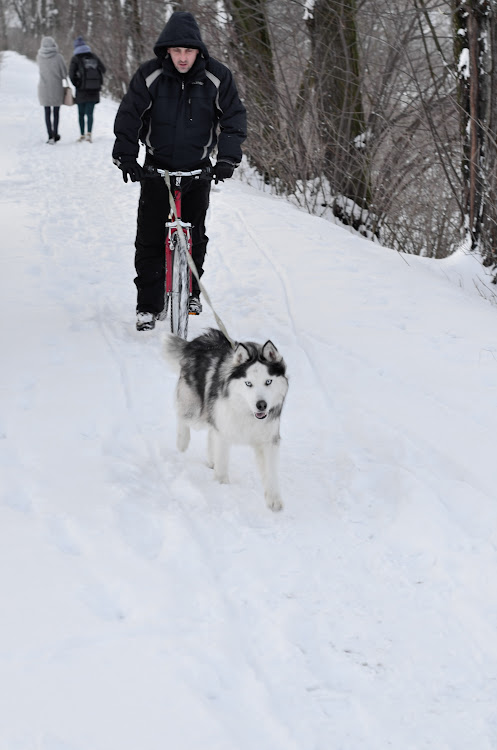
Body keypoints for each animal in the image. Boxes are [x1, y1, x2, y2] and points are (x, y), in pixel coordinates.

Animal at [165, 328, 288, 512]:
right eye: (248, 384)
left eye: (268, 381)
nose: (261, 405)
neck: (247, 413)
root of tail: (200, 339)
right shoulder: (224, 431)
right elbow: (222, 462)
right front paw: (222, 486)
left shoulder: (268, 440)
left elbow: (271, 472)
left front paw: (274, 500)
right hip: (195, 410)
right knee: (182, 415)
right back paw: (182, 442)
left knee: (210, 432)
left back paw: (211, 459)